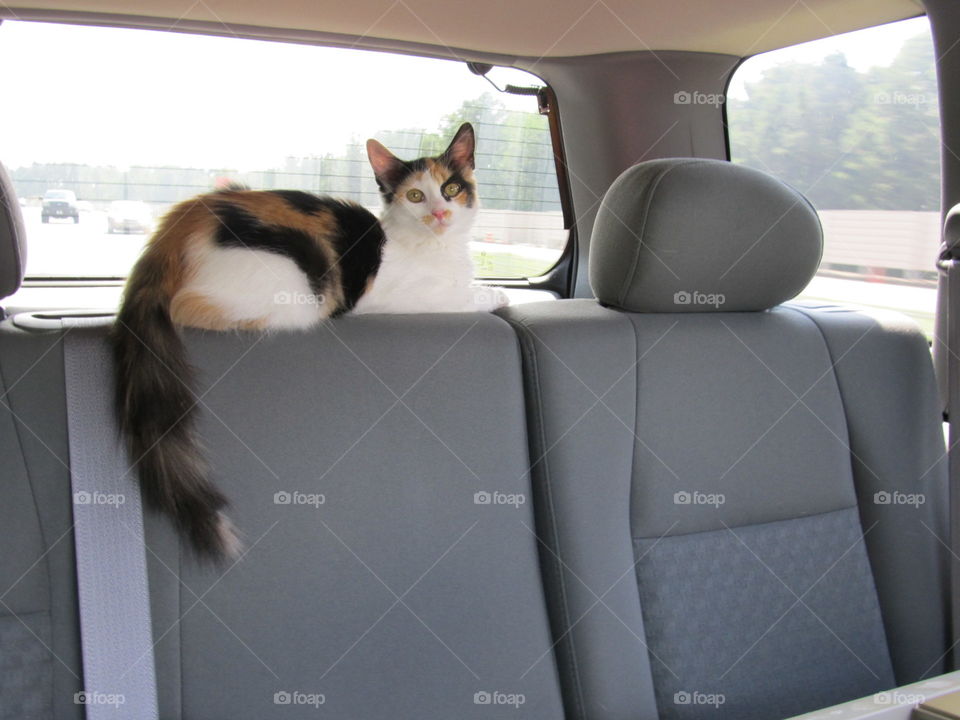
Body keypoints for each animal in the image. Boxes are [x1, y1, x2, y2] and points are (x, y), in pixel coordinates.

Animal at [354, 122, 510, 314]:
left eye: (452, 189)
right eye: (414, 195)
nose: (439, 212)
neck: (436, 243)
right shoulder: (391, 298)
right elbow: (460, 294)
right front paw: (497, 293)